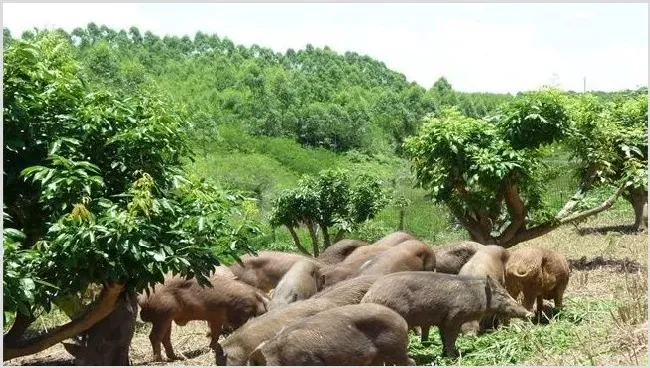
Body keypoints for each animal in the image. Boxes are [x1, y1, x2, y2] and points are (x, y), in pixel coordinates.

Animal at [137, 274, 268, 362]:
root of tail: (144, 298)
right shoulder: (238, 314)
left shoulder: (216, 318)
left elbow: (215, 334)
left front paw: (212, 347)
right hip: (162, 315)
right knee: (154, 336)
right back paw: (159, 360)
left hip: (167, 318)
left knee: (165, 338)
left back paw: (176, 358)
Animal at [360, 272, 532, 356]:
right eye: (503, 294)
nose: (529, 313)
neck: (477, 296)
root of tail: (367, 297)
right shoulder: (454, 317)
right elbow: (451, 337)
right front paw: (452, 356)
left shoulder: (442, 320)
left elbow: (444, 338)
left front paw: (446, 354)